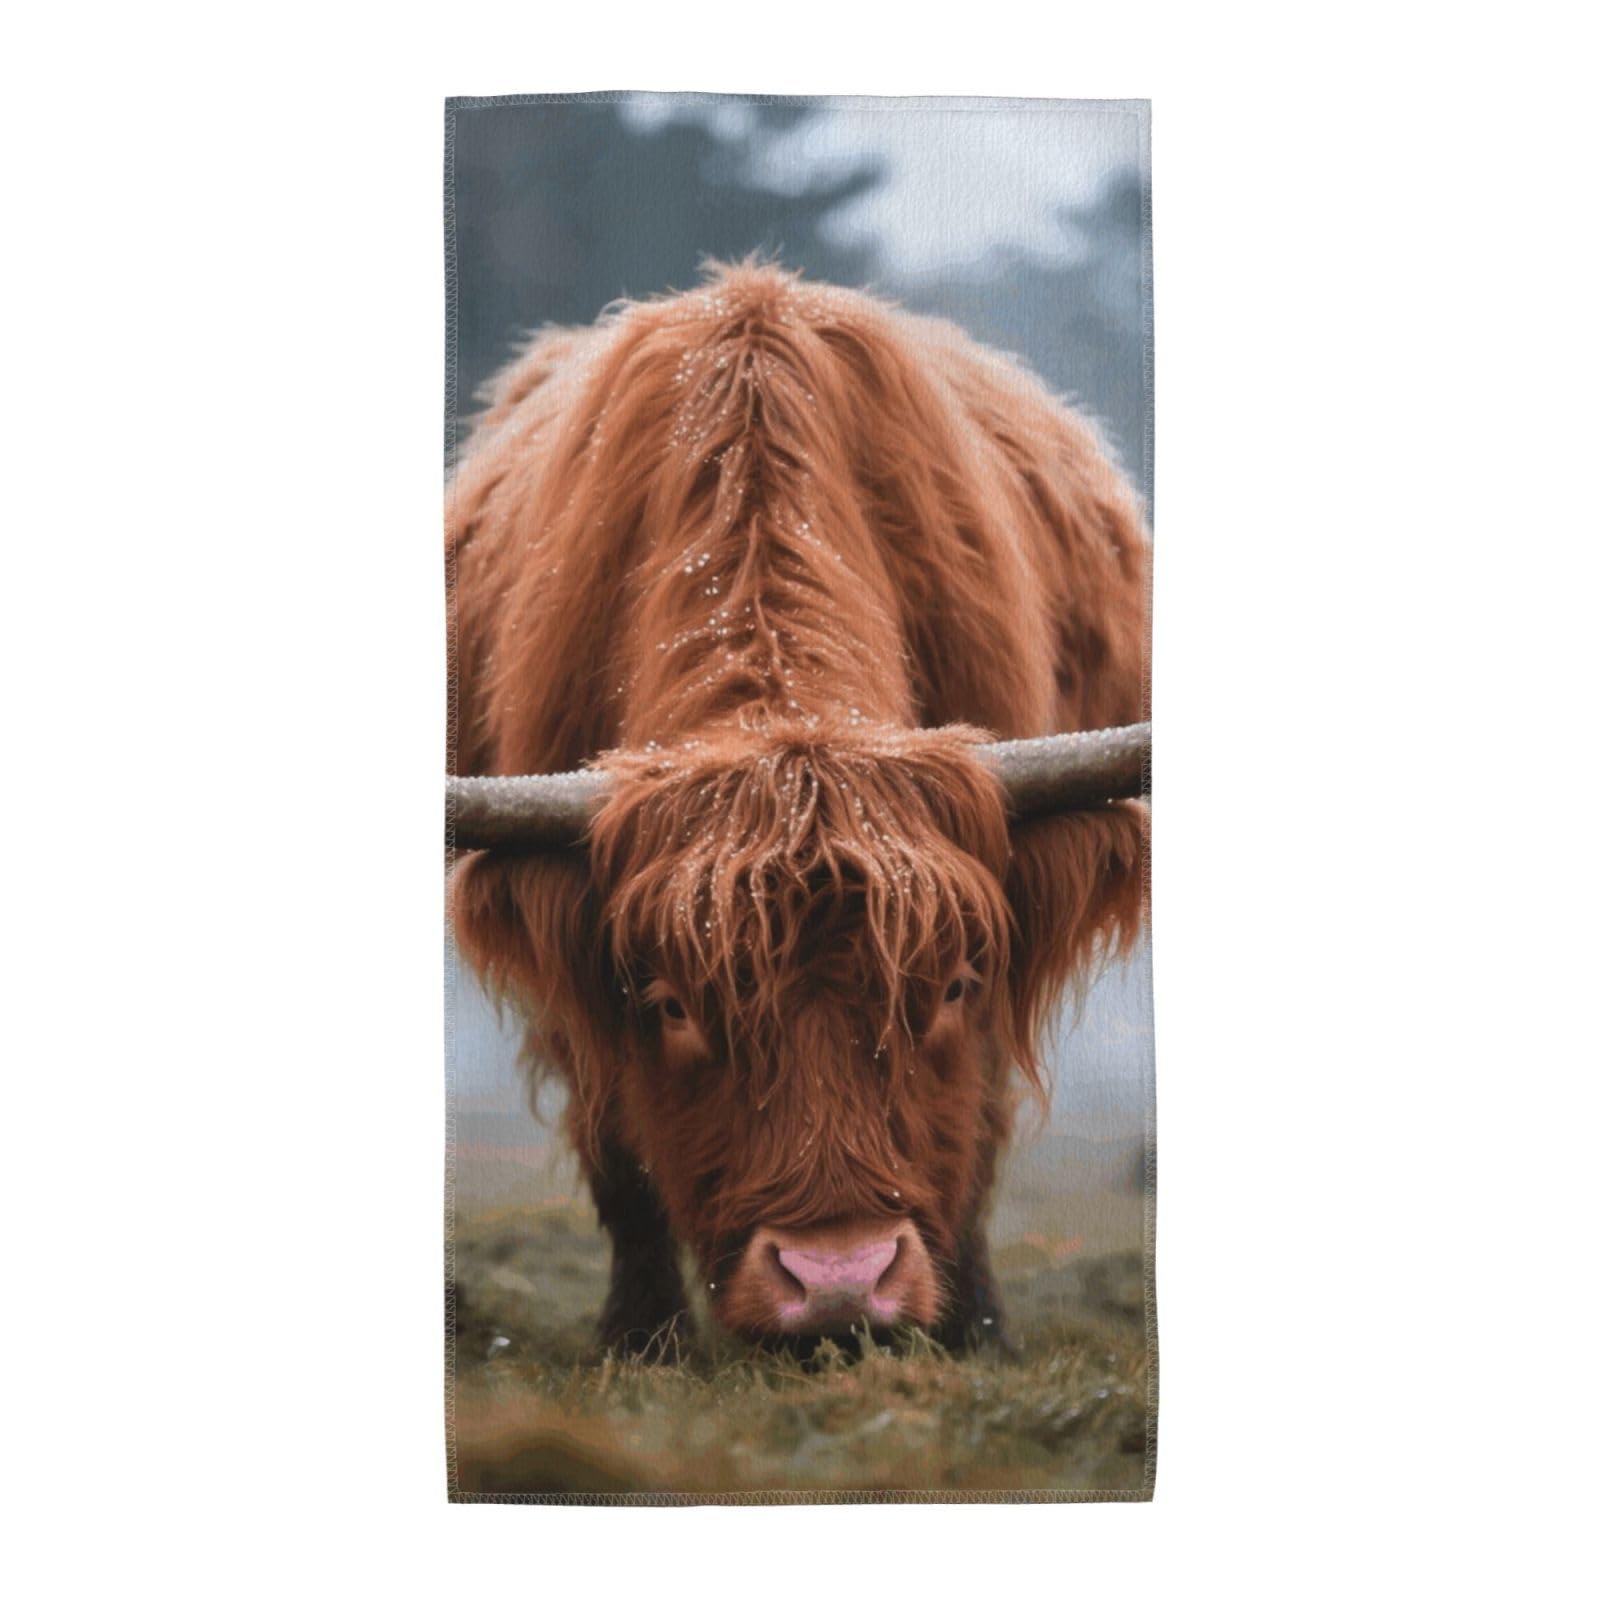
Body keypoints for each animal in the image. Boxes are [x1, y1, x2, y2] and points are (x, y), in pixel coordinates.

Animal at [447, 262, 1148, 1356]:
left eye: (951, 986)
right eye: (674, 1005)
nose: (837, 1281)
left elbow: (975, 1124)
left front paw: (975, 1328)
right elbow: (615, 1143)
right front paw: (640, 1339)